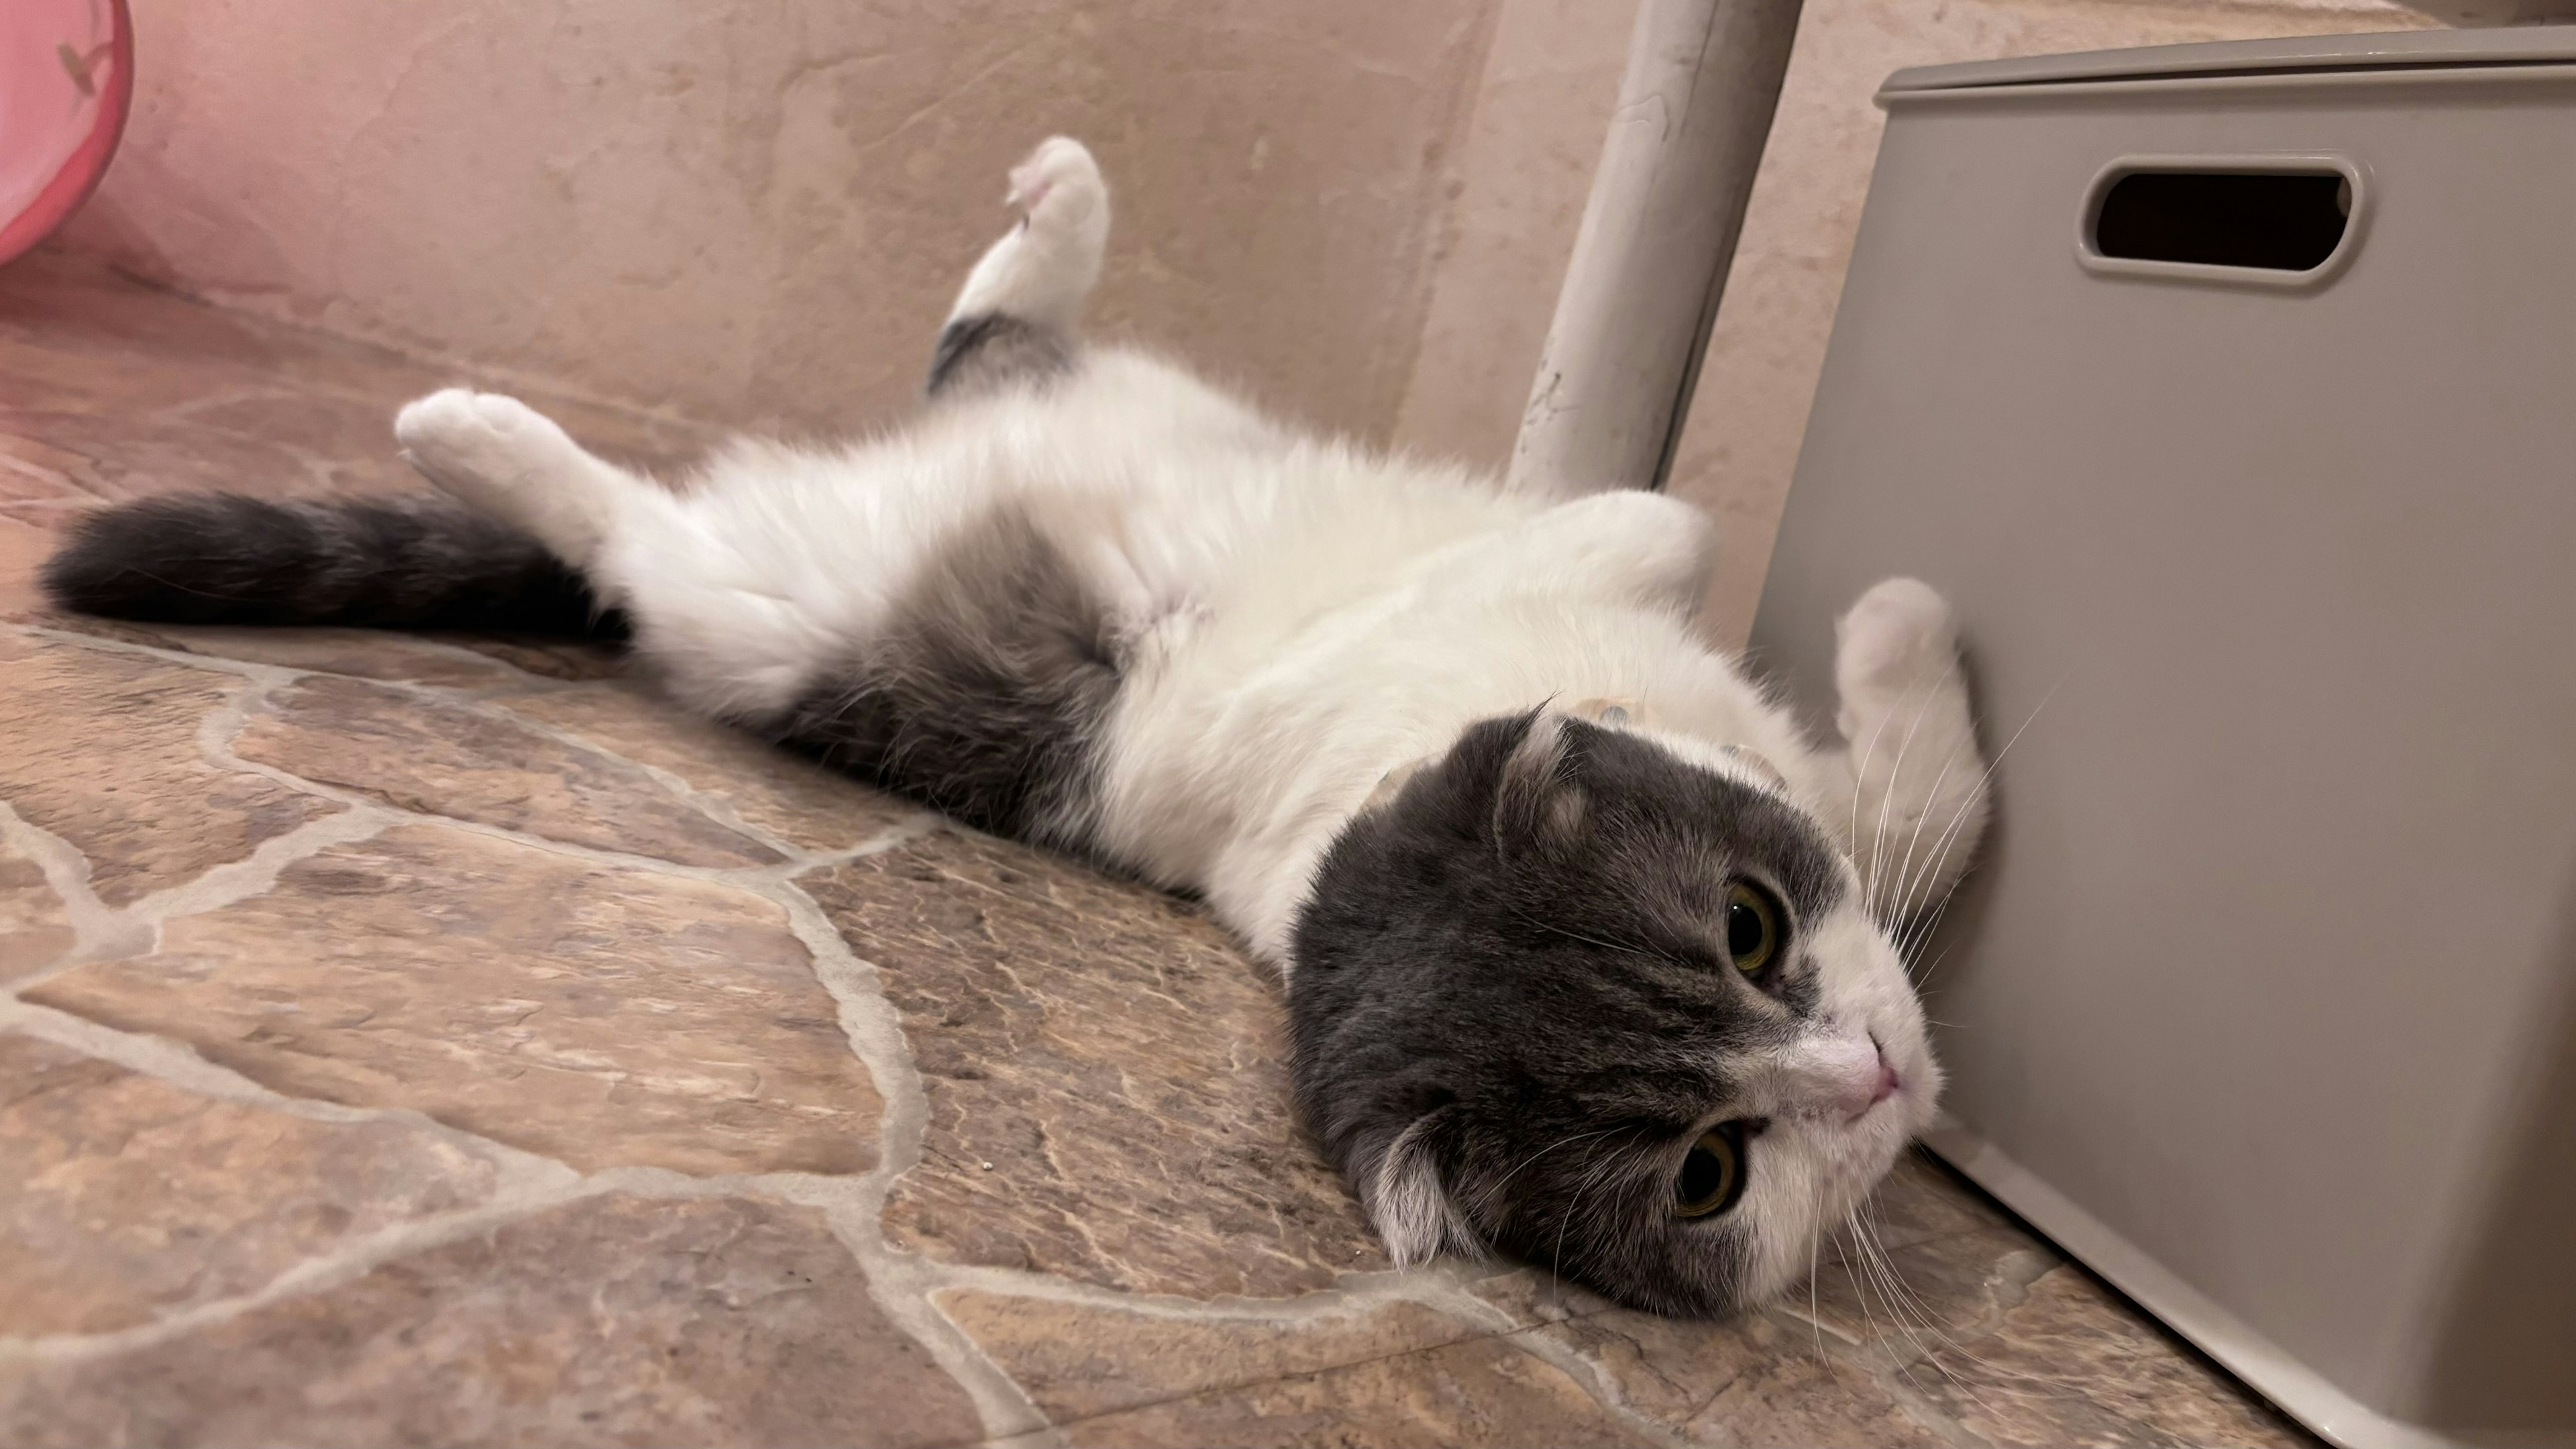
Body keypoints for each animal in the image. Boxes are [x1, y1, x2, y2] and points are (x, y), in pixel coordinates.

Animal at [50, 135, 1998, 1309]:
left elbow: (1899, 797)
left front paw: (1890, 673)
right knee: (657, 527)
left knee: (983, 347)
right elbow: (1681, 524)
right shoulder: (1543, 580)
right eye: (1711, 1170)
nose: (1881, 1080)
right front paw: (1909, 615)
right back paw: (477, 433)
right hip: (757, 607)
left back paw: (1052, 224)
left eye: (1750, 927)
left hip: (1056, 423)